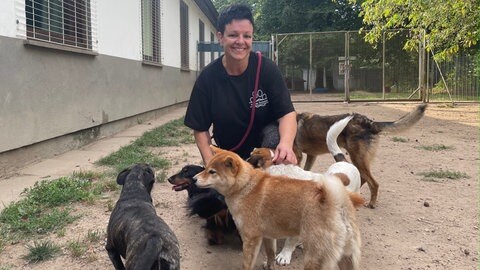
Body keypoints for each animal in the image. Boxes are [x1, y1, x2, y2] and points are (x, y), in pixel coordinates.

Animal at [193, 146, 362, 270]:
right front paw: (270, 266)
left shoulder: (251, 239)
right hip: (346, 258)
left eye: (212, 172)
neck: (246, 186)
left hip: (315, 258)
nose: (194, 179)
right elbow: (270, 254)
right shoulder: (268, 236)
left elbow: (247, 264)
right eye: (205, 168)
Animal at [294, 104, 426, 208]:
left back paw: (371, 203)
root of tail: (369, 123)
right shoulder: (311, 155)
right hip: (358, 160)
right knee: (364, 179)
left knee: (373, 183)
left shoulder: (298, 155)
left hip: (357, 158)